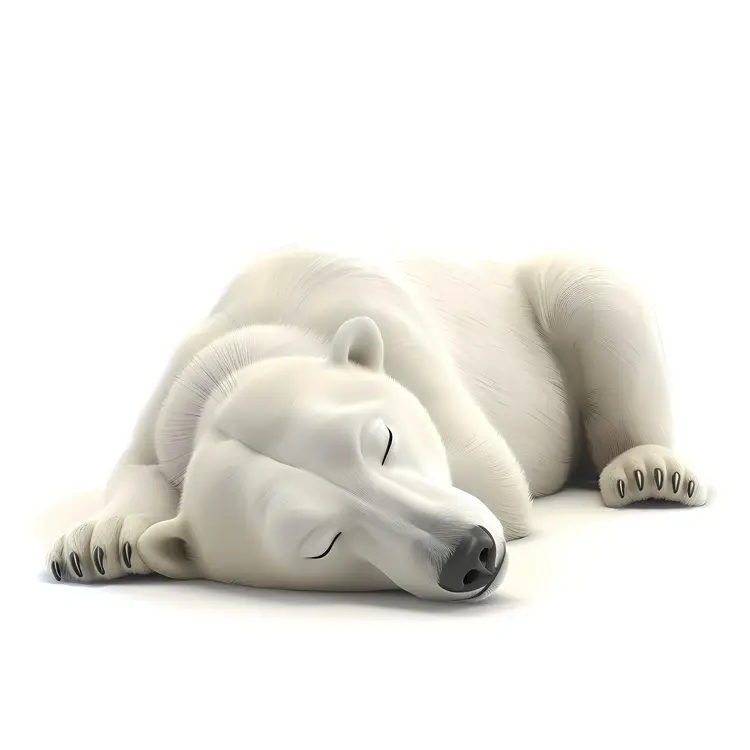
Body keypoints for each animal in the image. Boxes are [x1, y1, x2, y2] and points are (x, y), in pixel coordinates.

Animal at [46, 246, 707, 602]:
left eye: (382, 440)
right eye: (320, 544)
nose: (470, 554)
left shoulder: (388, 323)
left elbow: (494, 479)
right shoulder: (168, 401)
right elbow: (134, 468)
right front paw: (100, 543)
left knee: (588, 293)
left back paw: (648, 470)